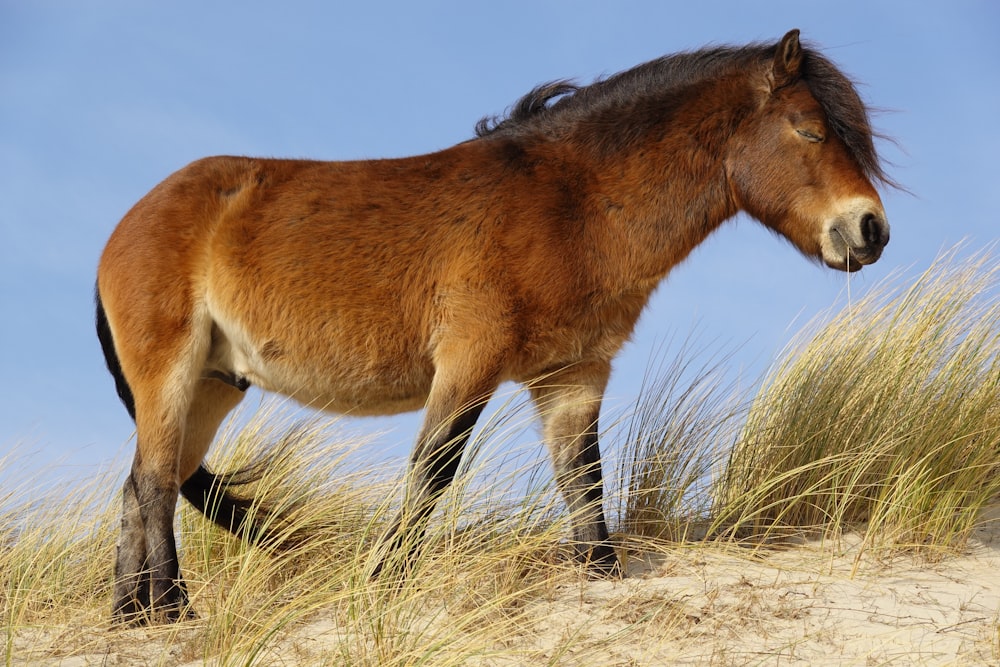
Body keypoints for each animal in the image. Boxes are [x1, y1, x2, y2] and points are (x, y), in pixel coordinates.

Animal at [95, 28, 892, 628]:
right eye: (808, 129)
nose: (870, 229)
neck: (571, 203)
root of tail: (128, 223)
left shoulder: (573, 375)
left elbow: (584, 484)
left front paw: (600, 577)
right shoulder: (470, 363)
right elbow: (433, 473)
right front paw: (385, 580)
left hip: (215, 384)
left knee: (139, 486)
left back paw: (131, 615)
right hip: (172, 374)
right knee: (155, 482)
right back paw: (169, 610)